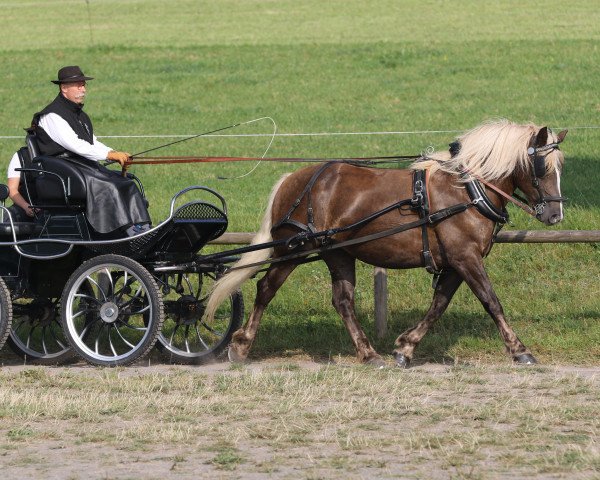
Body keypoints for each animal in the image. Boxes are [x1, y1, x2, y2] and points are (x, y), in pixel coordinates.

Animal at [204, 120, 568, 368]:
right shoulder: (466, 257)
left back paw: (368, 353)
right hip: (293, 249)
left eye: (560, 166)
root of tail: (293, 179)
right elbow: (492, 302)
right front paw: (520, 350)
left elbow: (438, 304)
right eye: (541, 167)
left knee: (343, 301)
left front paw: (405, 348)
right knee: (265, 288)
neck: (467, 190)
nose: (555, 215)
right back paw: (240, 345)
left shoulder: (455, 262)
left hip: (337, 253)